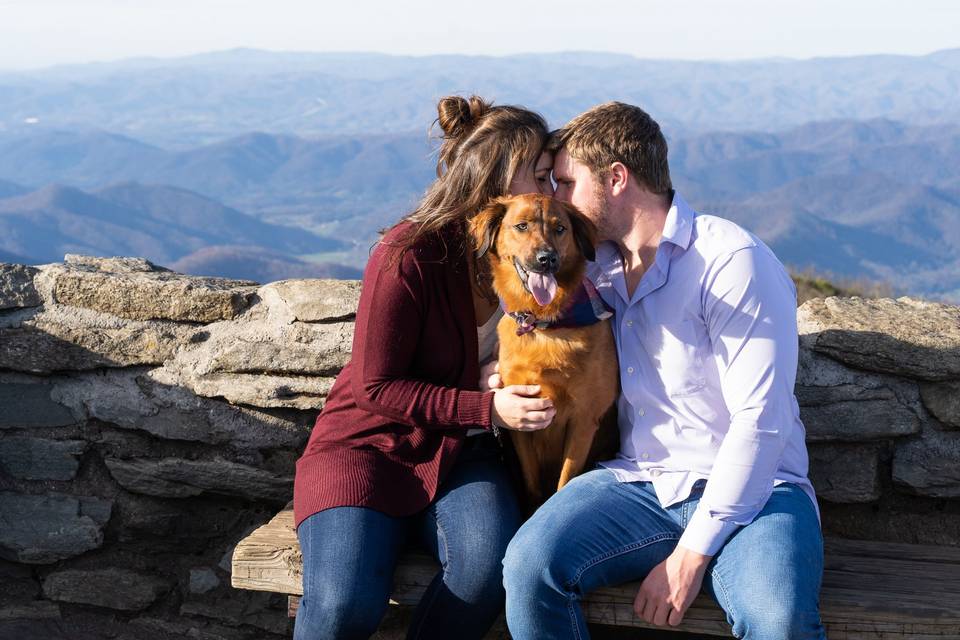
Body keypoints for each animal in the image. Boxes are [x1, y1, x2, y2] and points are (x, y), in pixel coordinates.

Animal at [468, 191, 620, 510]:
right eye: (521, 226)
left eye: (559, 228)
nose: (547, 259)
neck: (542, 324)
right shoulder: (520, 420)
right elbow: (531, 482)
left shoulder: (583, 419)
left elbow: (564, 481)